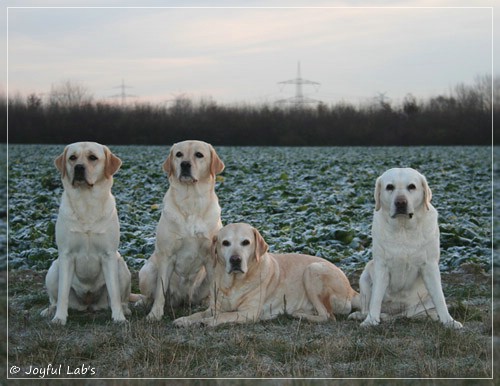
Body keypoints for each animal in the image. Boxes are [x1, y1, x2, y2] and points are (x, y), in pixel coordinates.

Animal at [40, 140, 131, 324]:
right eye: (72, 158)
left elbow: (115, 293)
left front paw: (119, 318)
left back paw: (126, 309)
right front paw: (59, 318)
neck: (86, 202)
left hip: (121, 266)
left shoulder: (109, 255)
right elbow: (62, 294)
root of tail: (89, 304)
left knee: (121, 297)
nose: (79, 168)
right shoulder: (66, 255)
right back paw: (50, 310)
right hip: (54, 269)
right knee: (54, 299)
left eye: (93, 158)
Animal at [136, 140, 224, 322]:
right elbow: (160, 292)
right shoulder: (166, 256)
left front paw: (212, 310)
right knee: (149, 295)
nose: (185, 164)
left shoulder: (211, 257)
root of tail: (182, 299)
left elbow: (215, 290)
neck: (191, 201)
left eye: (199, 154)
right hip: (148, 271)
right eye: (178, 154)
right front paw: (154, 314)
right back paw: (143, 303)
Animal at [174, 223, 358, 326]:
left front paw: (206, 322)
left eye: (245, 242)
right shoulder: (214, 307)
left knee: (328, 316)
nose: (235, 260)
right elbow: (198, 313)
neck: (234, 283)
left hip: (312, 270)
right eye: (225, 243)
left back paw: (298, 315)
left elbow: (224, 316)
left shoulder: (249, 312)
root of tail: (351, 289)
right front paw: (184, 320)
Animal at [350, 167, 462, 328]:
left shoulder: (430, 266)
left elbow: (440, 297)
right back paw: (363, 315)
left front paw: (449, 321)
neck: (403, 228)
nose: (401, 202)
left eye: (412, 187)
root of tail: (399, 313)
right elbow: (376, 297)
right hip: (365, 276)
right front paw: (371, 320)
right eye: (390, 187)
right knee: (367, 306)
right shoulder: (381, 266)